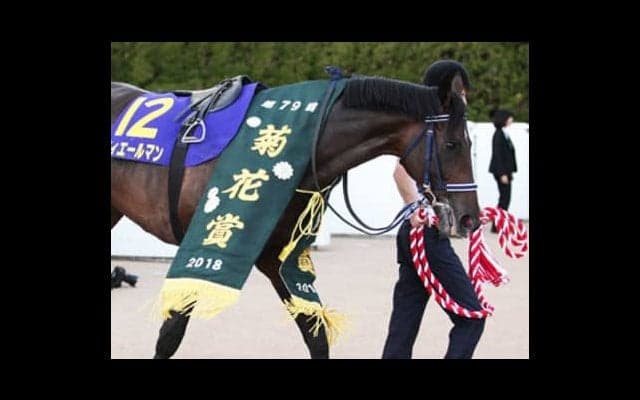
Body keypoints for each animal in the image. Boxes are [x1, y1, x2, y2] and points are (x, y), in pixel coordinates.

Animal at [111, 73, 480, 359]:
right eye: (452, 145)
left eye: (469, 143)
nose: (469, 217)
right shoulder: (202, 248)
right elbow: (171, 334)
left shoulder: (276, 255)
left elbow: (314, 333)